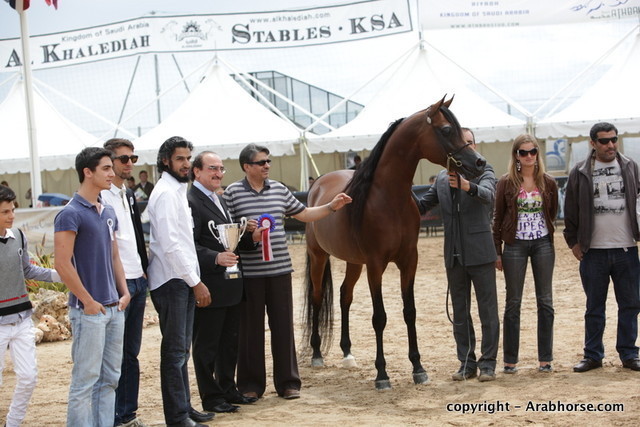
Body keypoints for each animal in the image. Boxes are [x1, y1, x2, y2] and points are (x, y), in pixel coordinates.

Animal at [303, 96, 486, 389]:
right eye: (447, 130)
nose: (479, 163)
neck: (389, 199)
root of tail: (317, 185)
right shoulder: (376, 265)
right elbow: (379, 318)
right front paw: (382, 375)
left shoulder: (408, 261)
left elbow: (409, 311)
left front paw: (418, 369)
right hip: (319, 256)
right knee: (318, 297)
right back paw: (317, 354)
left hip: (353, 262)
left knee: (344, 296)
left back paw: (347, 353)